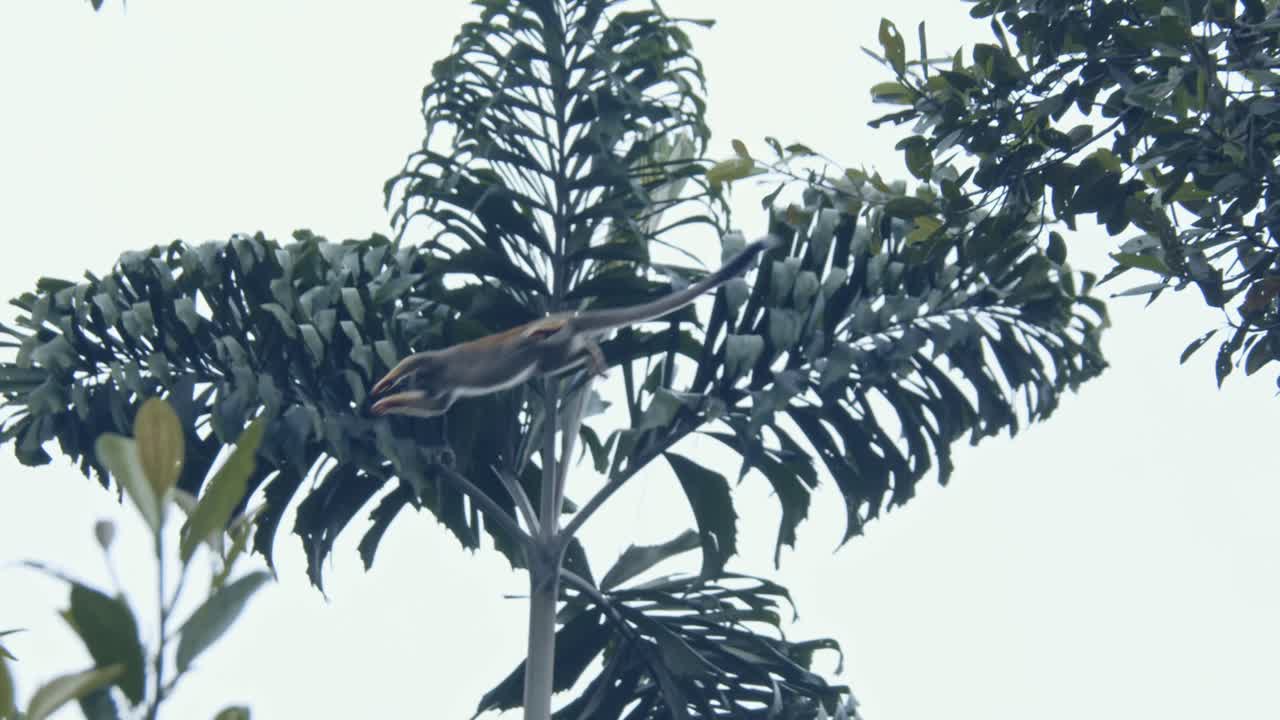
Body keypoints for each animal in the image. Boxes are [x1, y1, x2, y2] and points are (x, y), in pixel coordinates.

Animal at [368, 235, 778, 418]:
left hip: (552, 331)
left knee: (543, 331)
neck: (435, 379)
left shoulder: (440, 362)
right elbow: (433, 407)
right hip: (554, 353)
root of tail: (571, 327)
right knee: (552, 363)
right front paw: (390, 404)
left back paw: (552, 332)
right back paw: (592, 356)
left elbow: (419, 359)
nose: (416, 383)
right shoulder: (440, 391)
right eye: (417, 386)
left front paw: (385, 384)